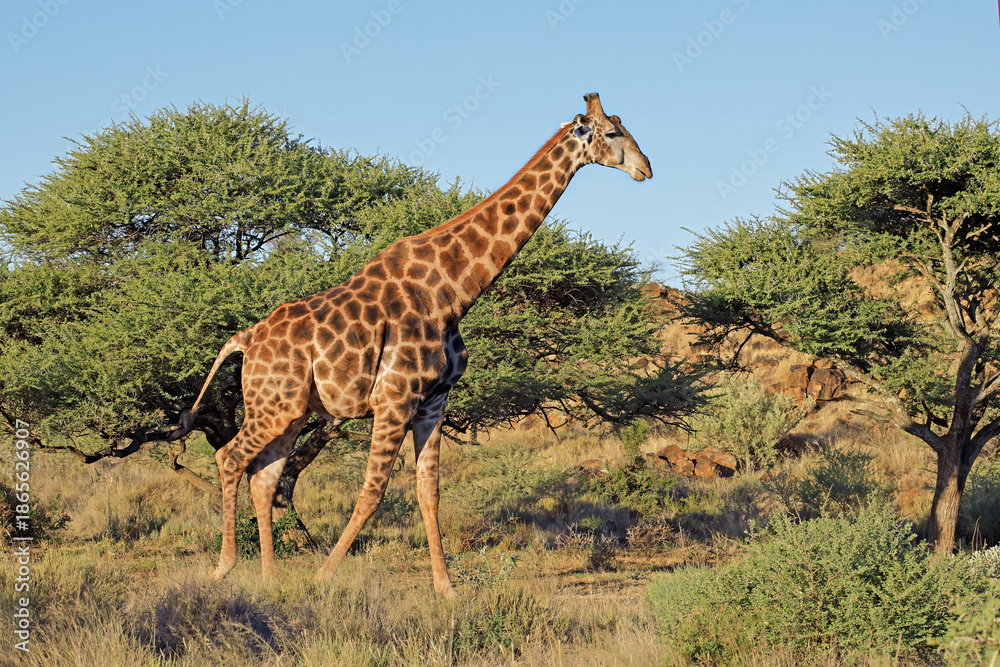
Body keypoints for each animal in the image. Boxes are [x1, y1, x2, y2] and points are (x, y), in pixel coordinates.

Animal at [189, 92, 652, 597]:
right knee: (230, 457)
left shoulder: (434, 400)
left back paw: (271, 577)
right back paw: (225, 566)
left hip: (289, 411)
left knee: (265, 476)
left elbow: (428, 492)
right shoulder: (394, 397)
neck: (452, 291)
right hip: (273, 405)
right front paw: (324, 575)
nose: (646, 168)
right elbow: (372, 492)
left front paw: (446, 588)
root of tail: (246, 339)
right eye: (613, 133)